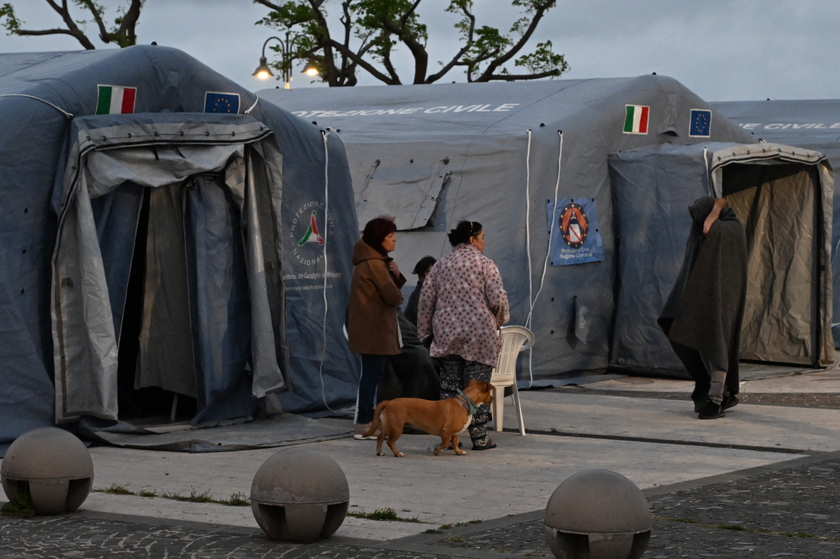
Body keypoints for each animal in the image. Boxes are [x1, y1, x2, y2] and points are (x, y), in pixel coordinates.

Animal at [360, 378, 492, 458]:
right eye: (489, 393)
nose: (493, 398)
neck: (465, 402)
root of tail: (389, 402)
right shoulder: (446, 432)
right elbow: (445, 443)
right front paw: (437, 451)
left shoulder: (455, 434)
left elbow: (454, 444)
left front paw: (458, 452)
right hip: (396, 429)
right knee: (390, 442)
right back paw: (397, 454)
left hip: (389, 427)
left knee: (380, 437)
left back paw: (379, 452)